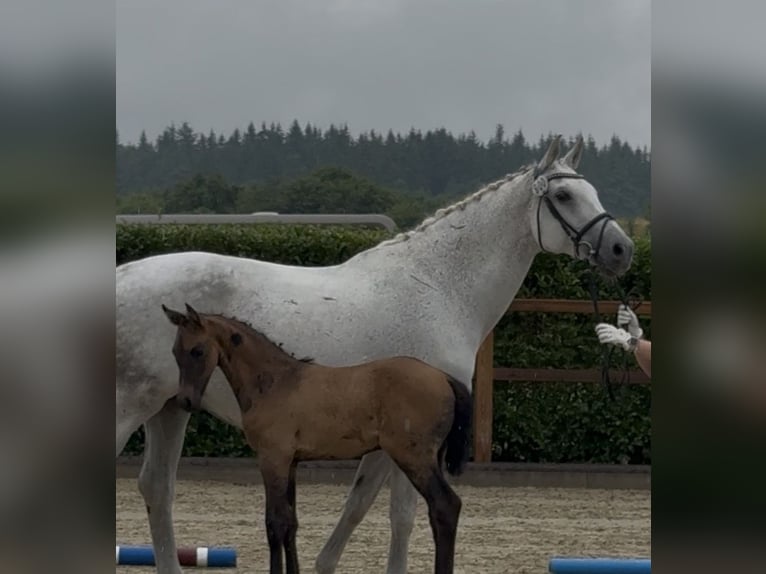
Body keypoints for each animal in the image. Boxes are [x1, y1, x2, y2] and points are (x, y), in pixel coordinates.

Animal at [161, 303, 473, 574]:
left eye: (197, 350)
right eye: (175, 352)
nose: (186, 401)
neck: (275, 381)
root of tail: (444, 378)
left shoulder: (272, 459)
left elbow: (274, 524)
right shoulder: (291, 463)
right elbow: (290, 523)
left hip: (413, 457)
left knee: (445, 506)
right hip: (429, 458)